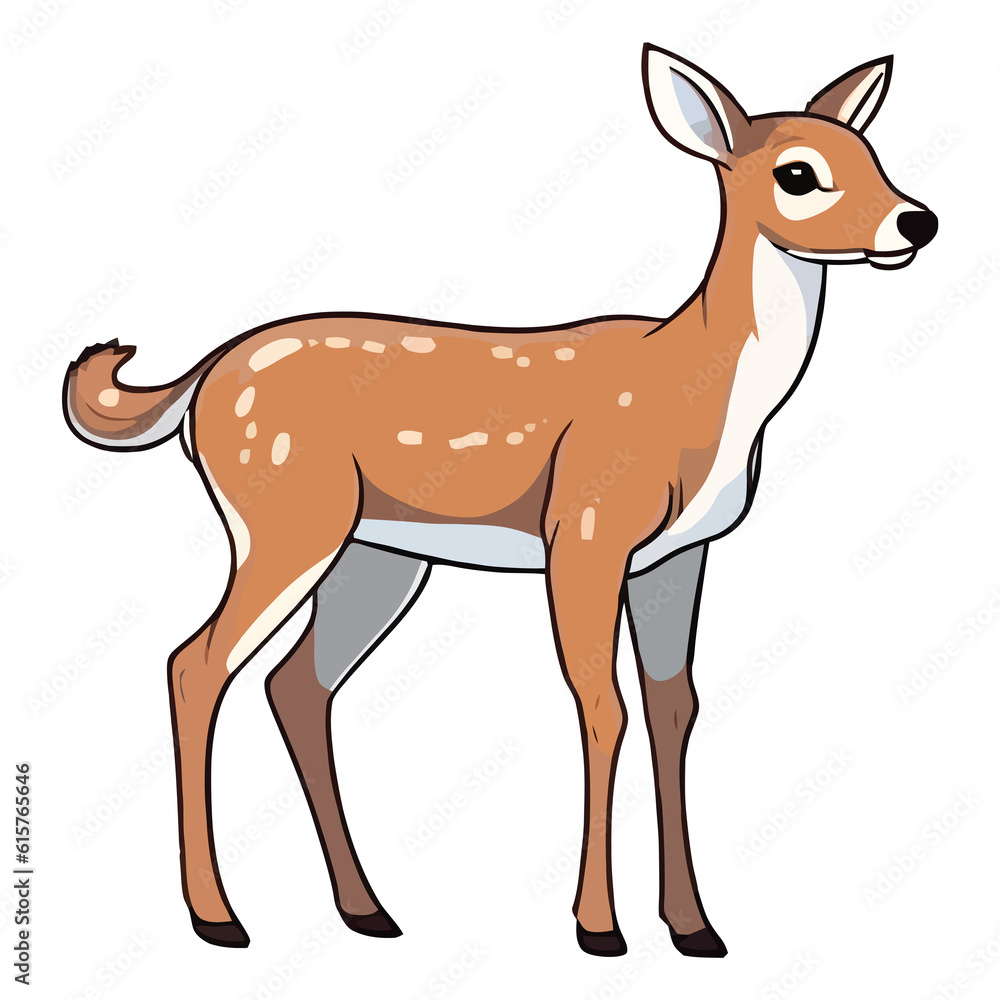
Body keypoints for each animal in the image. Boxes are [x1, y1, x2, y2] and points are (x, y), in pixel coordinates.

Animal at [63, 44, 937, 957]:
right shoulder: (586, 527)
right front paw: (598, 927)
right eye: (799, 174)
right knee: (195, 664)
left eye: (873, 155)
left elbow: (675, 708)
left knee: (296, 683)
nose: (916, 222)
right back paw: (218, 916)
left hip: (377, 554)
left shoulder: (679, 554)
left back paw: (366, 909)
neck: (697, 394)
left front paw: (695, 928)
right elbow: (602, 706)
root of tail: (199, 383)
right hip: (285, 517)